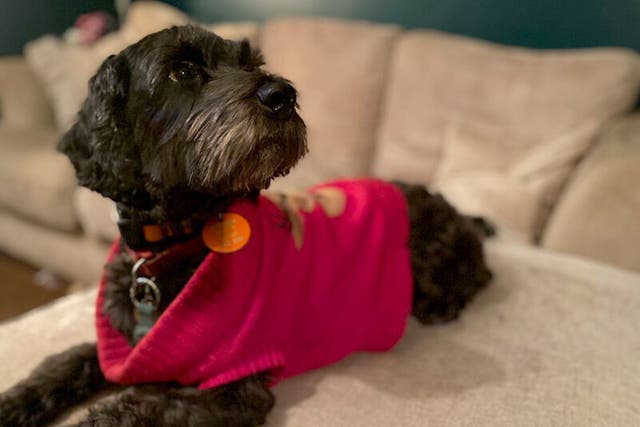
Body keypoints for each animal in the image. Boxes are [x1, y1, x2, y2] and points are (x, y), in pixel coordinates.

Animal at [0, 25, 492, 426]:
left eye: (251, 64)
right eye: (182, 70)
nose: (283, 95)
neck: (172, 245)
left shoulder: (233, 390)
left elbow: (131, 410)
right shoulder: (123, 349)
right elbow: (66, 361)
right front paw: (14, 402)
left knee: (477, 275)